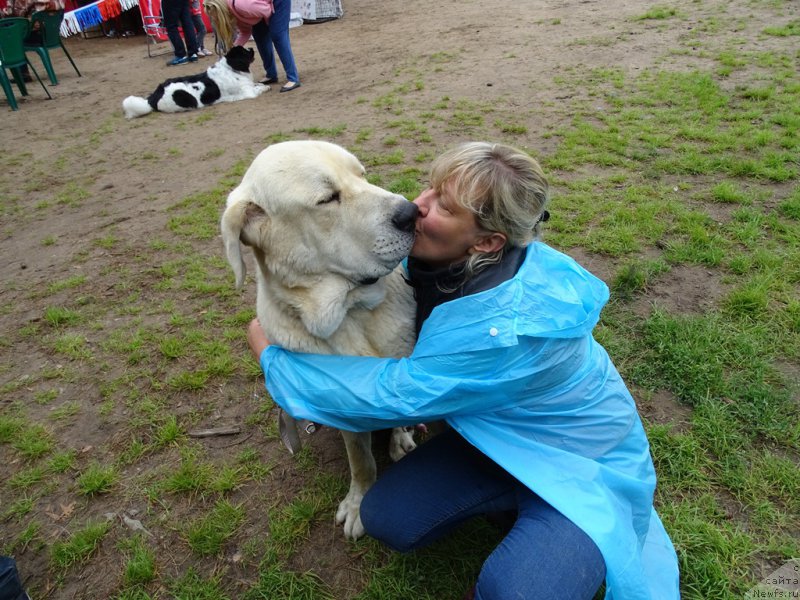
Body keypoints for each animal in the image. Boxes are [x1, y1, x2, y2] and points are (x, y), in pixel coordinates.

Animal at [122, 46, 266, 119]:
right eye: (245, 52)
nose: (251, 47)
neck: (232, 68)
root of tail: (154, 97)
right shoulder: (248, 92)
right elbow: (257, 89)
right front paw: (265, 88)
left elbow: (258, 84)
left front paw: (262, 84)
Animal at [219, 139, 418, 540]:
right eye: (327, 198)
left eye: (362, 175)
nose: (412, 212)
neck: (350, 312)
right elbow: (361, 461)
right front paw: (359, 501)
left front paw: (399, 437)